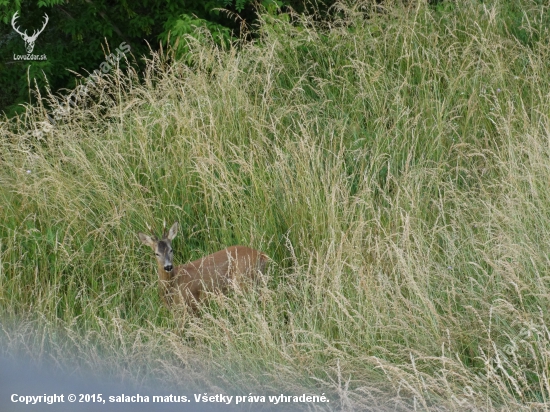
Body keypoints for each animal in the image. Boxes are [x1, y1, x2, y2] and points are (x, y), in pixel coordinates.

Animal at [137, 224, 268, 310]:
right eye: (156, 253)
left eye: (171, 249)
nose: (168, 266)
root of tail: (262, 255)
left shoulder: (191, 302)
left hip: (244, 280)